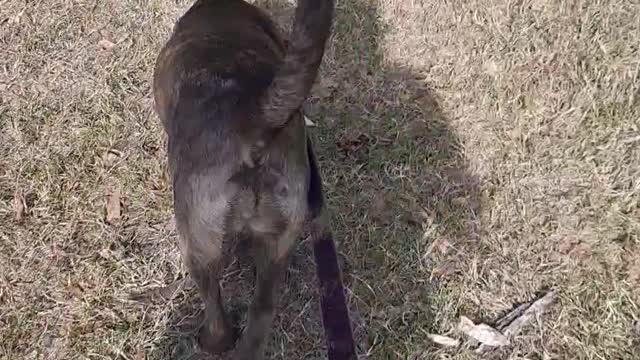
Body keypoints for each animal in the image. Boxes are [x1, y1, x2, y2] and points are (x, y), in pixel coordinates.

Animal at [153, 0, 358, 358]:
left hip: (196, 244)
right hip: (276, 244)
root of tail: (253, 122)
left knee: (216, 316)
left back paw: (209, 342)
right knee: (261, 312)